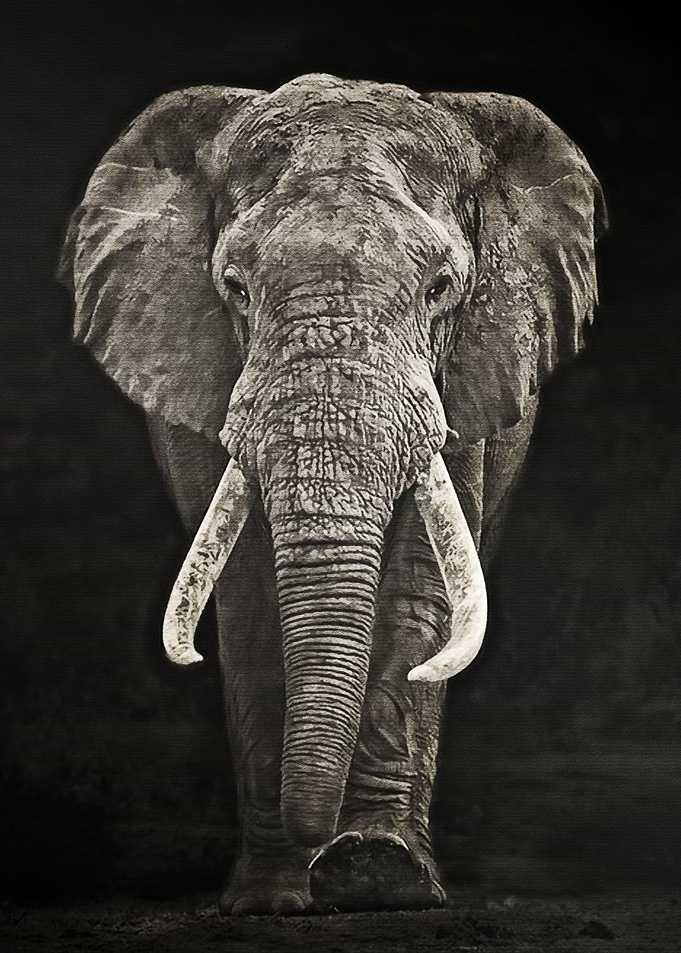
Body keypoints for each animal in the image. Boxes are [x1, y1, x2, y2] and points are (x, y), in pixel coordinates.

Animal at [59, 73, 606, 915]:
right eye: (235, 288)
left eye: (441, 288)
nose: (316, 843)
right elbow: (250, 591)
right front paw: (271, 897)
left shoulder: (466, 376)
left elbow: (419, 583)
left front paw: (378, 876)